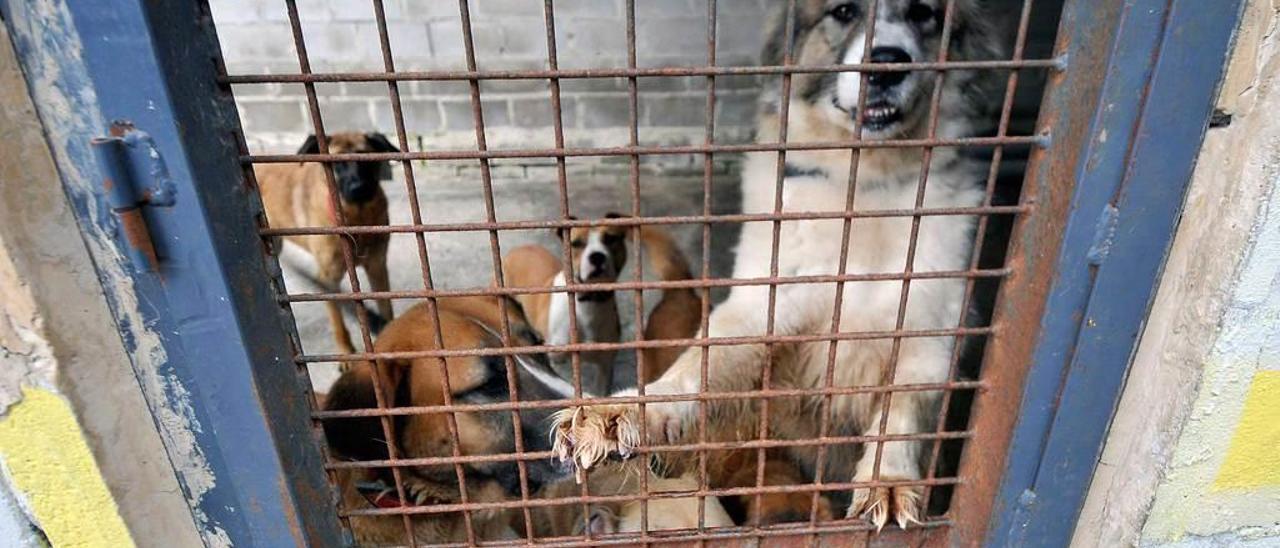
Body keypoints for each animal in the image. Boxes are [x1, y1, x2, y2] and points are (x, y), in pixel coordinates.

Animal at [256, 132, 399, 355]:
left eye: (365, 159)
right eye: (337, 165)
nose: (359, 188)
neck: (357, 220)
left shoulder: (377, 269)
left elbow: (386, 310)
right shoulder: (327, 280)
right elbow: (338, 323)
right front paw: (347, 353)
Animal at [550, 0, 1008, 530]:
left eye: (924, 14)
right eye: (844, 11)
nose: (889, 64)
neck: (864, 187)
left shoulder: (929, 332)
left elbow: (903, 409)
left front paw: (888, 480)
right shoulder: (765, 302)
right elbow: (700, 365)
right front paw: (628, 413)